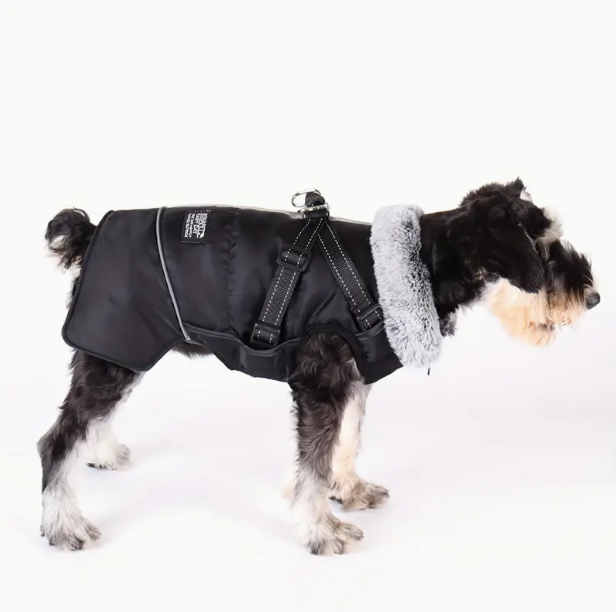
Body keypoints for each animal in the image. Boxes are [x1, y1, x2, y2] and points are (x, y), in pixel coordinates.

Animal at [38, 178, 599, 554]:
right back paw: (63, 524)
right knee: (57, 440)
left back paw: (101, 453)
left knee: (90, 417)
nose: (593, 298)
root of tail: (92, 230)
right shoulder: (320, 386)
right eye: (544, 250)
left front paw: (347, 490)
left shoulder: (352, 383)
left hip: (121, 351)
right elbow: (312, 464)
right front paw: (322, 529)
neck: (418, 265)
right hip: (113, 350)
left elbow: (344, 444)